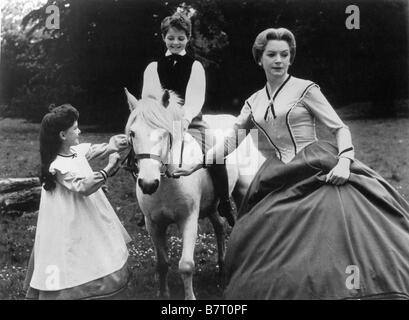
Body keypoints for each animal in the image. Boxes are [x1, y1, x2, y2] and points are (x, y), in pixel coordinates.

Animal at [124, 88, 264, 300]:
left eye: (164, 133)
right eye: (132, 133)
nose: (148, 184)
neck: (166, 182)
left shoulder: (188, 220)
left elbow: (186, 266)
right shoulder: (153, 224)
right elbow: (162, 263)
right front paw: (163, 294)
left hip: (242, 193)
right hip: (212, 206)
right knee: (220, 227)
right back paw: (222, 267)